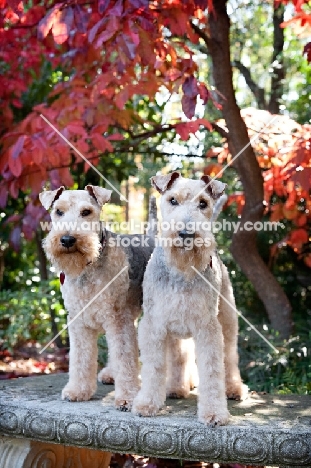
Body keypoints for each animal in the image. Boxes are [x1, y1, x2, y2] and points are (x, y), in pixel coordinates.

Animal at [133, 174, 245, 426]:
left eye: (203, 203)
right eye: (172, 200)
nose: (185, 234)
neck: (181, 270)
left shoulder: (207, 327)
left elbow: (212, 371)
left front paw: (214, 412)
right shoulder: (153, 326)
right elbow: (154, 367)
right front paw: (147, 403)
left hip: (227, 321)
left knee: (230, 357)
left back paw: (233, 389)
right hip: (175, 331)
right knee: (179, 358)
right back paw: (176, 388)